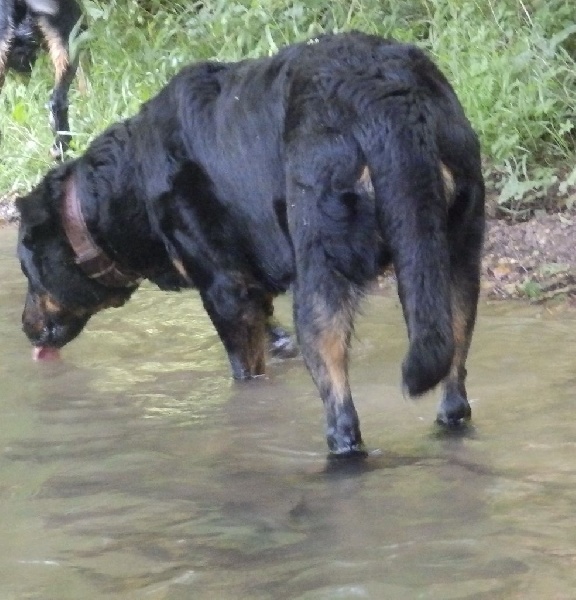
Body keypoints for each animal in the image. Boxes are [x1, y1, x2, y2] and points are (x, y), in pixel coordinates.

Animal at [15, 31, 484, 454]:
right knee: (455, 383)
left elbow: (246, 372)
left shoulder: (223, 291)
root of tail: (386, 95)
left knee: (342, 412)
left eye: (30, 274)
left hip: (320, 270)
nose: (24, 327)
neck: (127, 185)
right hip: (458, 255)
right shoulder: (250, 286)